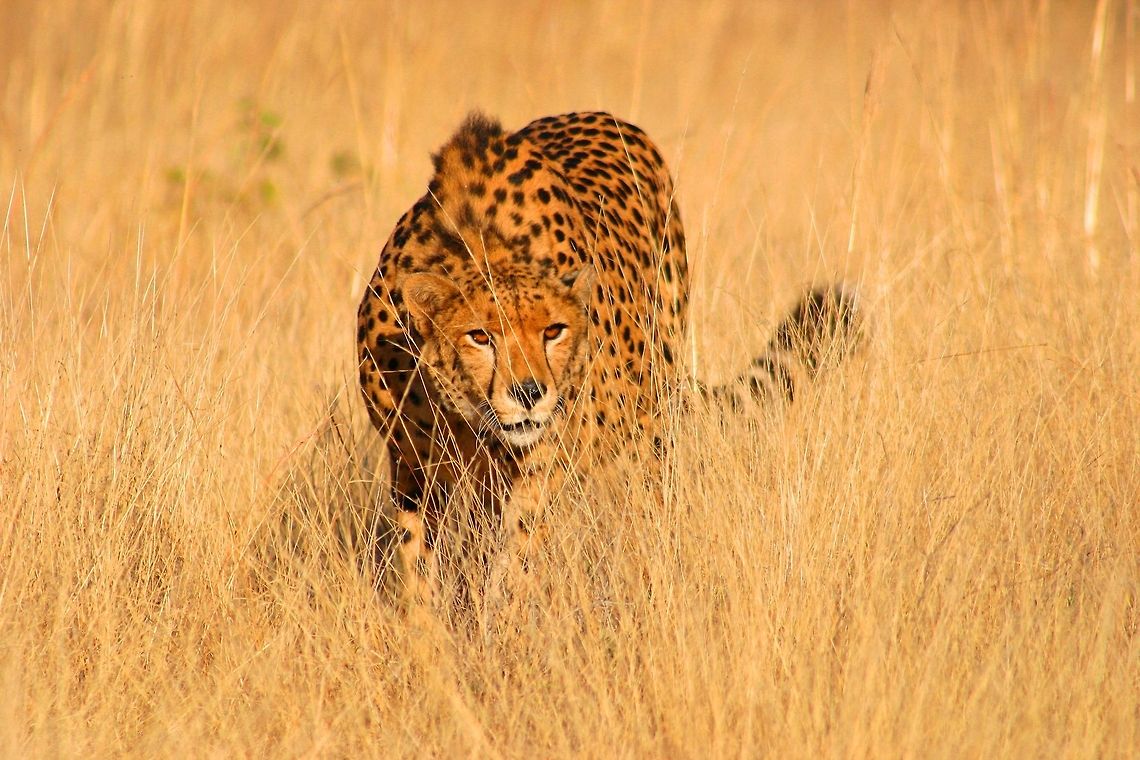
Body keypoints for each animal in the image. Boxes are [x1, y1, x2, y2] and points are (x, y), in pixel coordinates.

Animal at [356, 111, 859, 607]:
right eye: (480, 336)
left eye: (553, 331)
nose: (529, 393)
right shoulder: (412, 465)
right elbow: (416, 564)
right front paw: (426, 625)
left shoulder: (542, 461)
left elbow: (517, 557)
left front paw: (504, 620)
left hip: (652, 422)